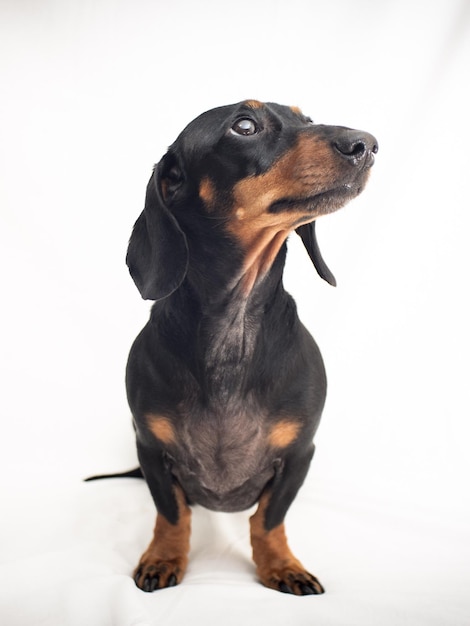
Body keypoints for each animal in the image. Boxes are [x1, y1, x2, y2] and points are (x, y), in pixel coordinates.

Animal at [90, 100, 376, 592]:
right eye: (244, 126)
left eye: (306, 118)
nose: (367, 144)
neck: (233, 328)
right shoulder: (150, 449)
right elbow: (172, 514)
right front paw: (163, 558)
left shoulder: (298, 455)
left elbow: (268, 520)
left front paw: (282, 565)